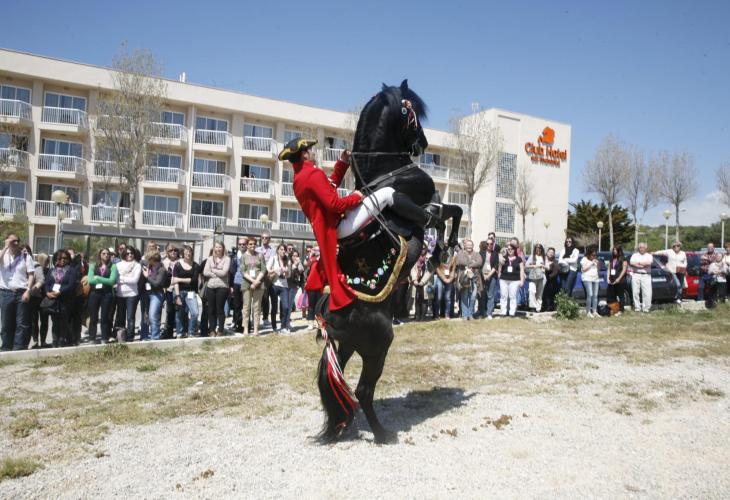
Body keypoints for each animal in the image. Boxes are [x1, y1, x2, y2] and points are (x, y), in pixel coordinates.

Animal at [315, 80, 462, 444]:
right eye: (413, 113)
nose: (423, 144)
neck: (387, 173)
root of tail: (329, 318)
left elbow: (447, 216)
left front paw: (441, 251)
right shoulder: (427, 206)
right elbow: (451, 212)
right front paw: (444, 250)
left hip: (348, 347)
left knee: (341, 386)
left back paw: (344, 426)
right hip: (379, 345)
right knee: (363, 390)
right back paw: (383, 434)